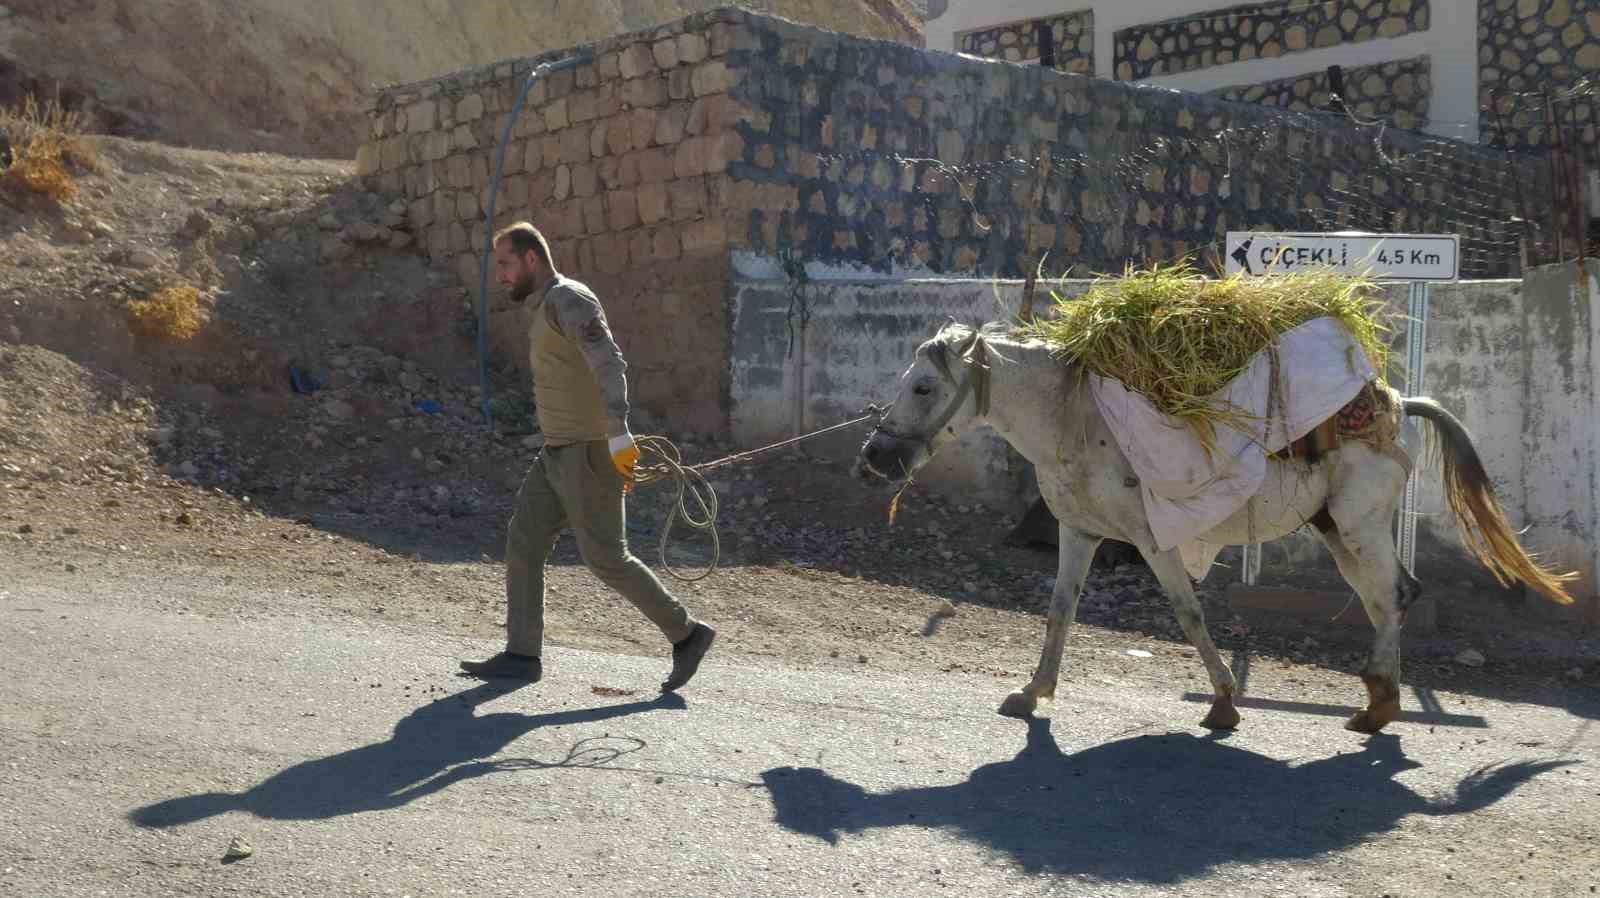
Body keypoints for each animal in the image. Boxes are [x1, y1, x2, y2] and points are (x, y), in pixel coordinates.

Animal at [857, 320, 1568, 729]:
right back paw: (1377, 702)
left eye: (923, 387)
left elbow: (1188, 612)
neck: (1075, 419)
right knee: (1388, 597)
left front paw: (1225, 702)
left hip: (1359, 525)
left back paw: (1377, 712)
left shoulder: (1154, 541)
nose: (875, 457)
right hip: (1338, 531)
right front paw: (1032, 694)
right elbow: (1059, 612)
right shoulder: (1079, 534)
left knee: (1392, 596)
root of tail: (1395, 404)